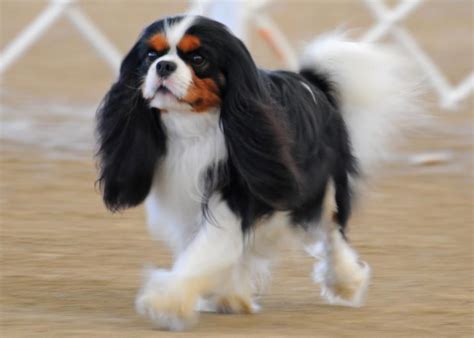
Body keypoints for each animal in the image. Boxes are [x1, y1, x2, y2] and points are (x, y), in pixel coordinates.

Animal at [95, 14, 418, 328]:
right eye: (151, 55)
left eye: (198, 59)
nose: (163, 65)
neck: (194, 126)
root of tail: (312, 82)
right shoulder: (185, 205)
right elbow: (202, 249)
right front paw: (220, 295)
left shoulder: (231, 200)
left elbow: (203, 252)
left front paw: (165, 301)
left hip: (324, 190)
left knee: (332, 231)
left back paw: (345, 281)